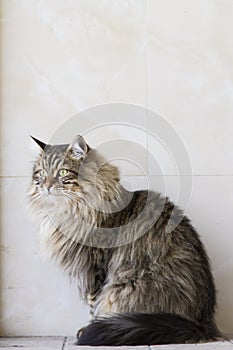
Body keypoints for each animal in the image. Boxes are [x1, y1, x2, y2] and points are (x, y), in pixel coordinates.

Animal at [28, 135, 219, 346]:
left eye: (62, 172)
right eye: (42, 173)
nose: (46, 186)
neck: (71, 210)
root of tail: (202, 323)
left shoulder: (96, 268)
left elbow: (93, 306)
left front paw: (89, 328)